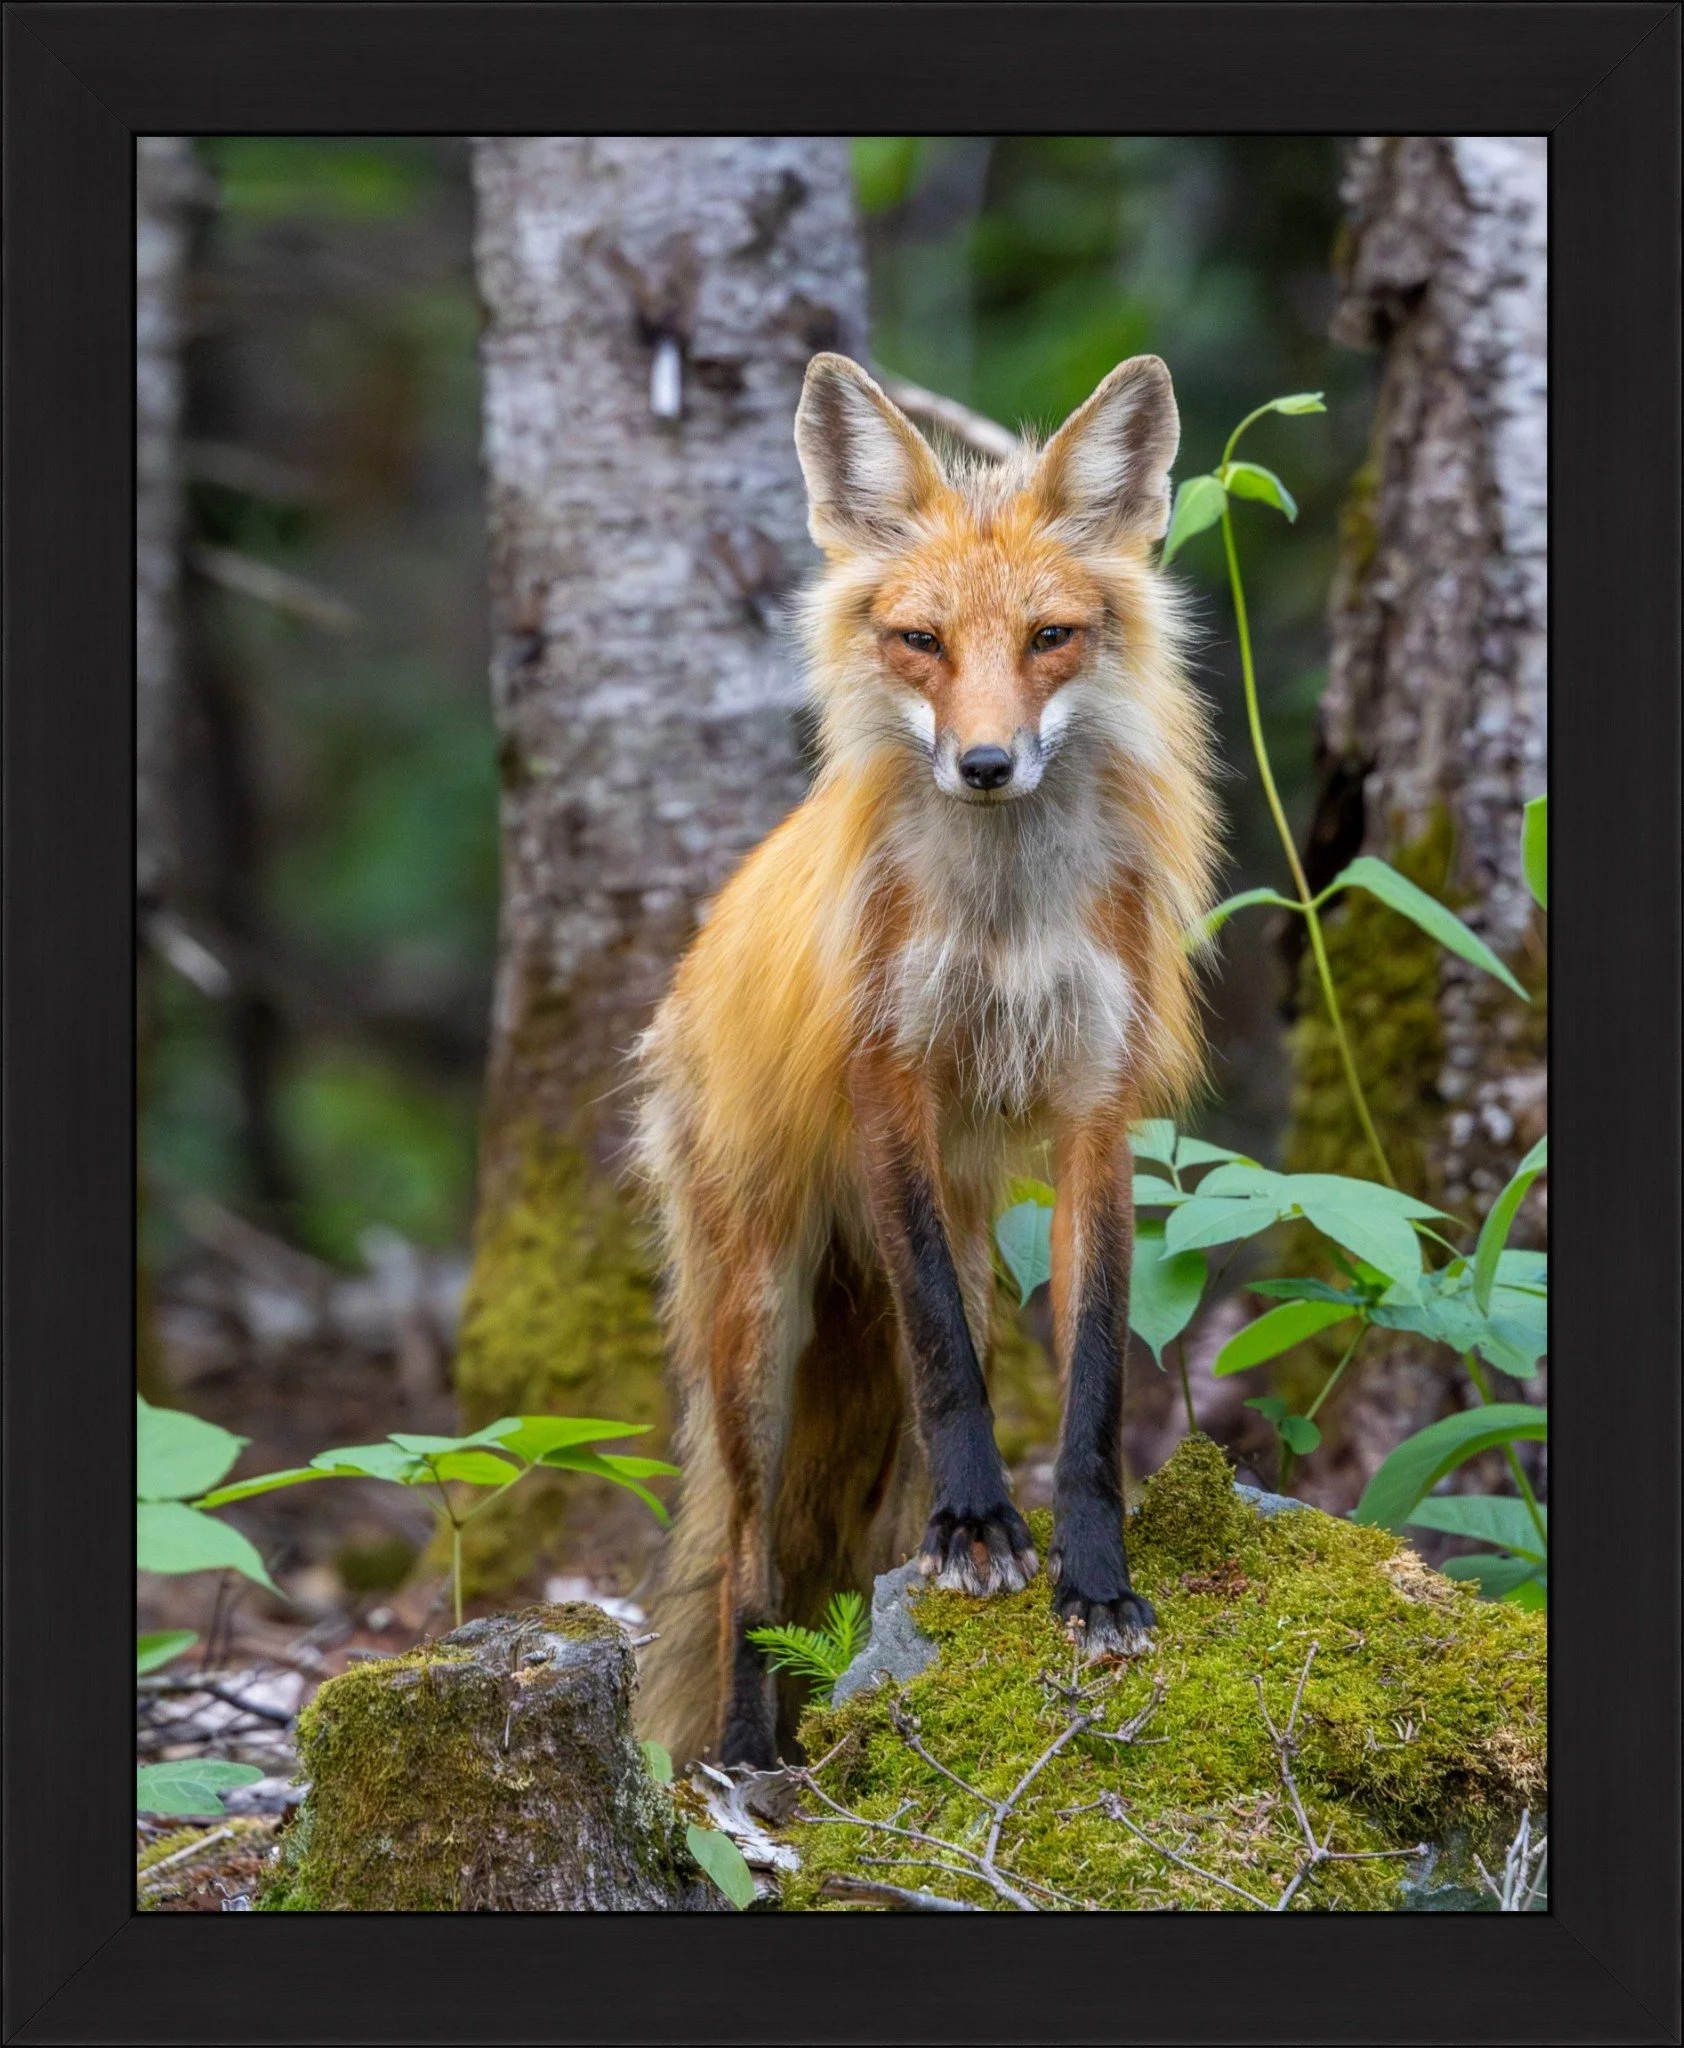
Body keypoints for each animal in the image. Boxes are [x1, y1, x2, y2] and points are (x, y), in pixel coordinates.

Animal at [631, 351, 1220, 1769]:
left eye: (1050, 637)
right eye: (921, 641)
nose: (987, 763)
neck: (1003, 920)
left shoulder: (1093, 1104)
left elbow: (1096, 1384)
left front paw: (1093, 1580)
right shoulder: (887, 1079)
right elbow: (950, 1361)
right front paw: (980, 1531)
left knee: (868, 1519)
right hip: (758, 1328)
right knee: (748, 1562)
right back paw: (750, 1758)